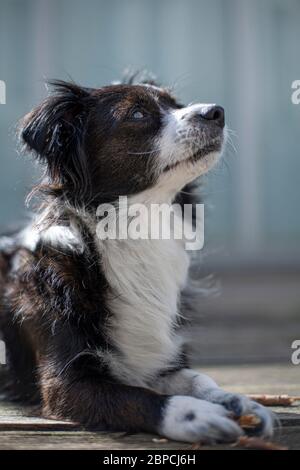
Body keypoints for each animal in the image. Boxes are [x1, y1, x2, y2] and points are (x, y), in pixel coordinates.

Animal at [0, 79, 274, 442]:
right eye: (138, 114)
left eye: (176, 105)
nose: (216, 112)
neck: (139, 230)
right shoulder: (66, 384)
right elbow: (137, 397)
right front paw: (195, 414)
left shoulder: (157, 358)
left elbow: (197, 378)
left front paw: (238, 401)